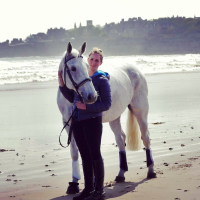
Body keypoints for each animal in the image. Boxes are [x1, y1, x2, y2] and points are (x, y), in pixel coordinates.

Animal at [56, 42, 156, 194]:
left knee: (146, 137)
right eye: (73, 68)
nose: (91, 96)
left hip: (140, 110)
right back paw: (121, 174)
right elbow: (74, 152)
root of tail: (135, 68)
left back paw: (151, 171)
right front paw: (74, 183)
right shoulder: (68, 123)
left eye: (87, 66)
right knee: (120, 139)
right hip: (114, 117)